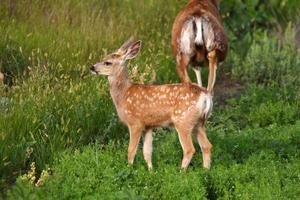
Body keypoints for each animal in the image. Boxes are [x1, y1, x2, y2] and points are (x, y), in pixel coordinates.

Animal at [90, 38, 212, 170]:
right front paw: (151, 170)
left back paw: (181, 171)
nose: (92, 67)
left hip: (183, 120)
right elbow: (147, 152)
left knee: (190, 149)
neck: (124, 94)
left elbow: (131, 150)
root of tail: (205, 96)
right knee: (207, 146)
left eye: (107, 62)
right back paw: (206, 170)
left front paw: (129, 169)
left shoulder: (135, 123)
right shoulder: (148, 126)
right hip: (199, 122)